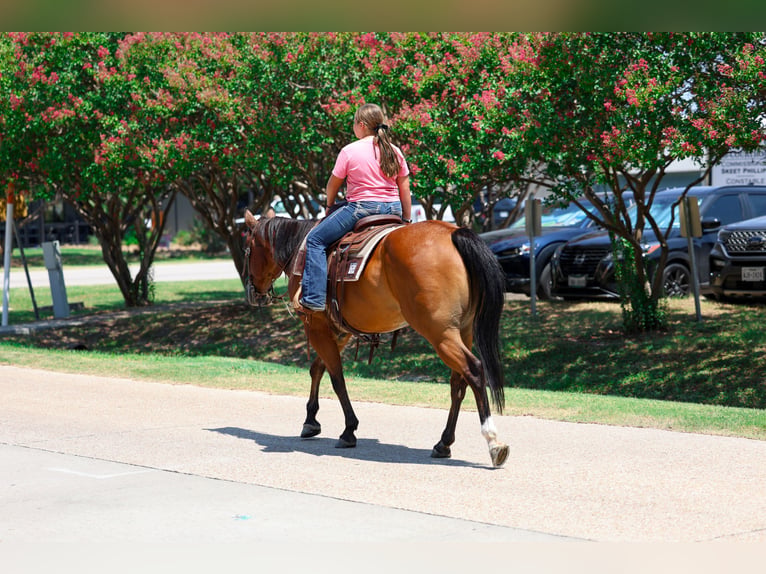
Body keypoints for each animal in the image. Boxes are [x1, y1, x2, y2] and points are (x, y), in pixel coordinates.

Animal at [242, 210, 509, 467]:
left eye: (247, 249)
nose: (253, 293)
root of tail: (453, 233)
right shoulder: (340, 330)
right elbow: (318, 369)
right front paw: (311, 421)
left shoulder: (315, 326)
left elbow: (336, 377)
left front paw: (348, 430)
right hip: (462, 330)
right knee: (458, 383)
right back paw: (443, 443)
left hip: (440, 333)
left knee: (474, 370)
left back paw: (493, 442)